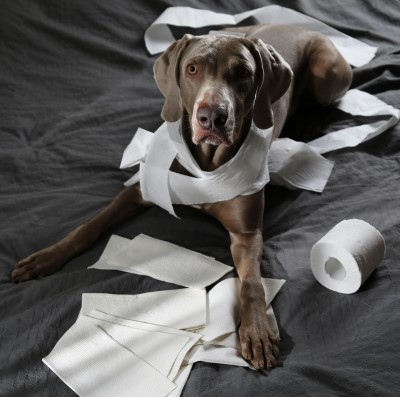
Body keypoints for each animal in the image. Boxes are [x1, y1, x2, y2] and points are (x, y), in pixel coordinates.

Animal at [10, 26, 352, 370]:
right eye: (192, 69)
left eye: (242, 72)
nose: (212, 117)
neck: (207, 162)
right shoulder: (138, 191)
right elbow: (88, 226)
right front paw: (46, 257)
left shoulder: (246, 233)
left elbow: (252, 284)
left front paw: (256, 329)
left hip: (328, 71)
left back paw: (309, 120)